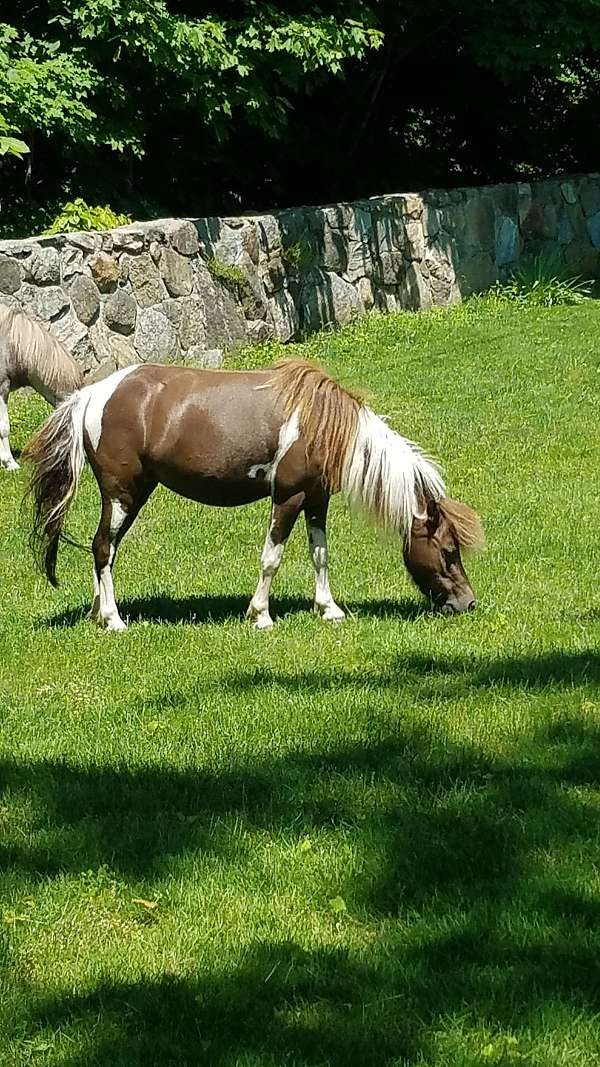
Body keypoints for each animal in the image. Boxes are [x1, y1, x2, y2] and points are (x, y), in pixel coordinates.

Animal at [24, 360, 480, 623]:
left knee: (103, 548)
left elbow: (320, 555)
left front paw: (329, 610)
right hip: (123, 493)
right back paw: (114, 619)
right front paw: (260, 615)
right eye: (448, 551)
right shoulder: (287, 498)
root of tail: (91, 396)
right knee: (103, 547)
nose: (468, 603)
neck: (322, 424)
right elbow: (271, 558)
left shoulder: (317, 500)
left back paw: (99, 613)